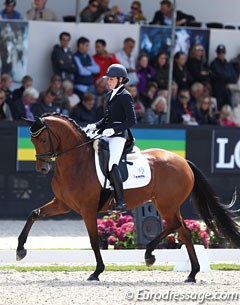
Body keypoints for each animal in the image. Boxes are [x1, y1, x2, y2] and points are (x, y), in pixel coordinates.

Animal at [16, 113, 240, 282]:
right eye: (32, 141)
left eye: (43, 139)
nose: (42, 168)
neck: (76, 162)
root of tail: (183, 161)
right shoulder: (62, 204)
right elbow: (34, 213)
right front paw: (20, 250)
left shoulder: (87, 209)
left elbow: (94, 240)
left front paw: (97, 272)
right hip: (167, 204)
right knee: (182, 230)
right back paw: (189, 272)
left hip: (166, 204)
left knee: (176, 226)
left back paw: (155, 256)